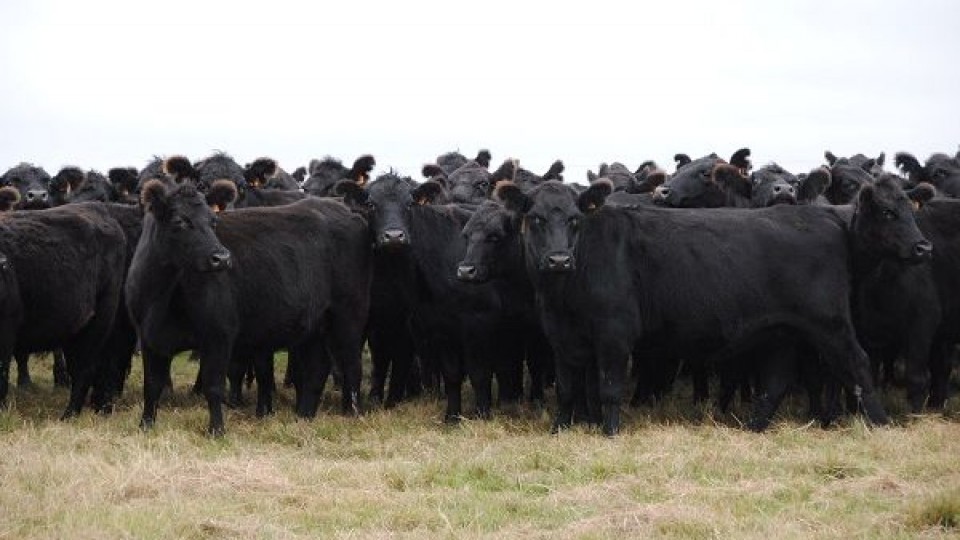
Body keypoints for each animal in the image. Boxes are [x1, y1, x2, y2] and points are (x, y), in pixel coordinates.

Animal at [124, 159, 372, 434]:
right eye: (179, 221)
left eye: (213, 221)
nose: (222, 258)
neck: (163, 294)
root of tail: (343, 209)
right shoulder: (149, 337)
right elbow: (152, 386)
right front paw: (145, 425)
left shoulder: (218, 335)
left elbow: (213, 386)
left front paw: (217, 430)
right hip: (314, 325)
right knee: (317, 369)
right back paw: (304, 416)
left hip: (349, 315)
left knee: (351, 364)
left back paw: (352, 413)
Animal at [496, 177, 928, 434]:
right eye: (535, 218)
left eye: (574, 219)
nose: (558, 259)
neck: (563, 294)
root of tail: (820, 215)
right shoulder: (562, 337)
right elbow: (567, 389)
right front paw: (559, 430)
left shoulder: (615, 334)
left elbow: (609, 389)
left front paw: (610, 433)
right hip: (782, 331)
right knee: (776, 382)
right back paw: (752, 429)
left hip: (829, 323)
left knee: (857, 363)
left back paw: (881, 425)